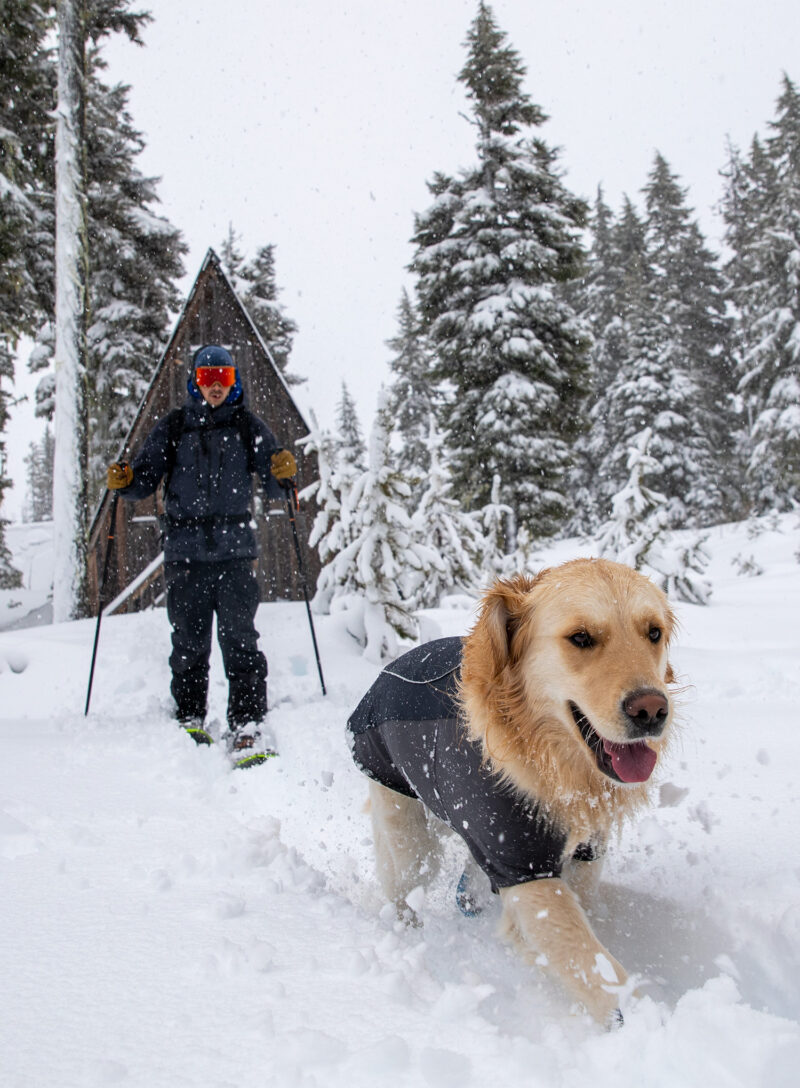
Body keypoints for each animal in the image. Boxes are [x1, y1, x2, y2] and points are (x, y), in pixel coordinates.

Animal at [348, 557, 679, 1022]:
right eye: (581, 638)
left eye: (653, 632)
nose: (651, 710)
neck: (550, 764)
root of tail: (387, 668)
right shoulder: (523, 867)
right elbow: (595, 967)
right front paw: (641, 1024)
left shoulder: (585, 854)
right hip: (407, 832)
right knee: (401, 887)